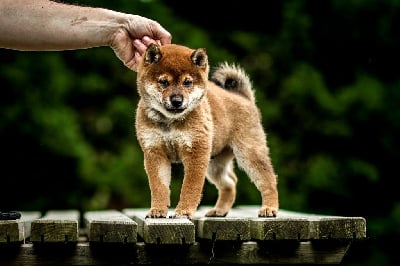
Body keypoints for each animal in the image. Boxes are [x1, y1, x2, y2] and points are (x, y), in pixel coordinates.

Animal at [134, 43, 278, 218]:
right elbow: (159, 187)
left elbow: (190, 188)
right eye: (163, 82)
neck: (170, 121)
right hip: (215, 164)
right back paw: (219, 210)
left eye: (187, 82)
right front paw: (158, 210)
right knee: (230, 182)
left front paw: (184, 211)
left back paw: (269, 208)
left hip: (249, 153)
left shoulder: (196, 152)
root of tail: (244, 98)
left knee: (268, 180)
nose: (177, 101)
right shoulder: (154, 153)